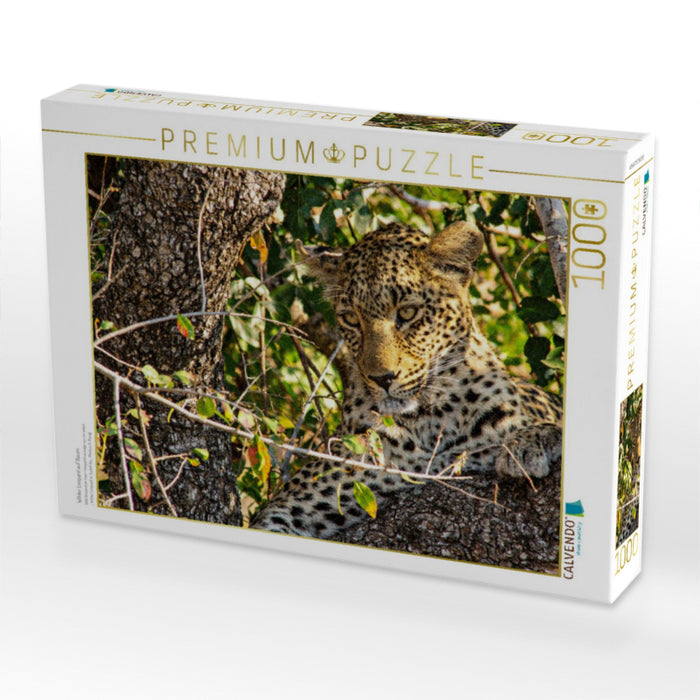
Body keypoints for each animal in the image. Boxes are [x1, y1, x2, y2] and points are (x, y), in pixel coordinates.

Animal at [250, 220, 563, 540]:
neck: (430, 418)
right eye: (351, 319)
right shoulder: (293, 504)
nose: (382, 378)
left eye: (408, 312)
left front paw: (530, 442)